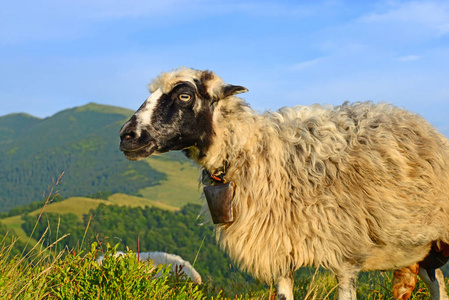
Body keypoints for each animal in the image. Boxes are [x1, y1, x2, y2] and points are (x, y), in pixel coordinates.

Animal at [118, 68, 448, 300]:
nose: (126, 136)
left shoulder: (345, 253)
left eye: (184, 95)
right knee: (438, 283)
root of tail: (428, 128)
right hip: (422, 250)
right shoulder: (279, 248)